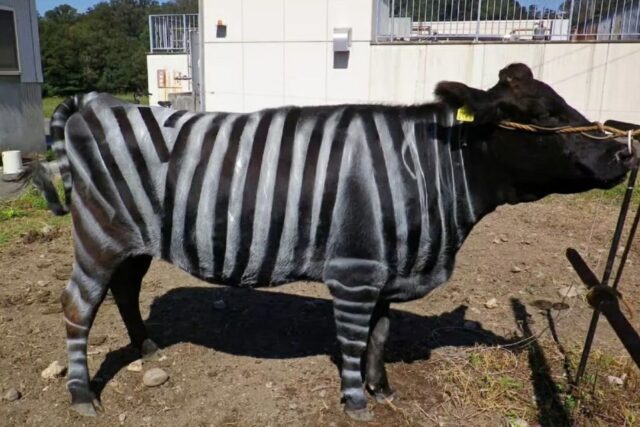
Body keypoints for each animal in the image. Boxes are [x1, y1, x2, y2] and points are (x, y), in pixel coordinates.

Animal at [31, 63, 634, 420]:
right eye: (543, 116)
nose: (625, 153)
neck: (427, 172)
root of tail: (97, 102)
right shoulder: (355, 271)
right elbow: (351, 340)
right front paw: (355, 403)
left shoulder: (390, 268)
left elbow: (380, 336)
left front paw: (382, 389)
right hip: (100, 234)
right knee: (78, 306)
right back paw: (82, 397)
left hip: (134, 239)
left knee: (126, 290)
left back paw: (149, 348)